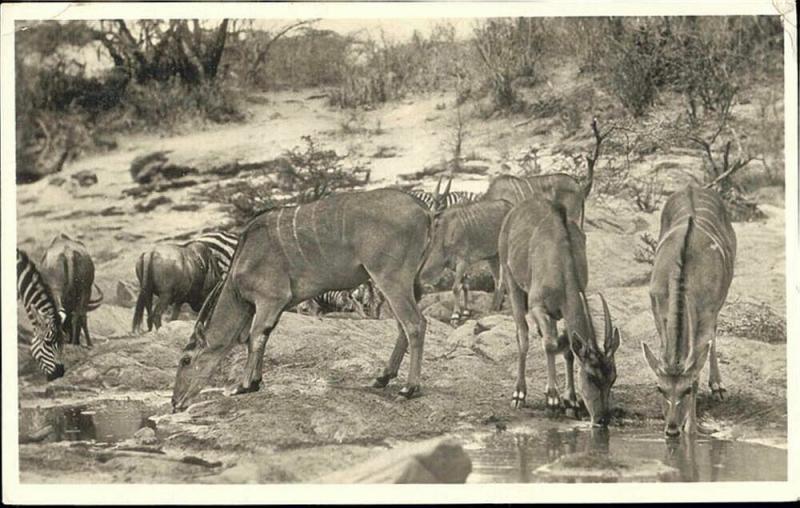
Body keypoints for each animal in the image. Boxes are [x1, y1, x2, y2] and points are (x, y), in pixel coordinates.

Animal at [169, 189, 432, 410]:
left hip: (390, 278)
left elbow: (255, 337)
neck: (243, 260)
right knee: (403, 325)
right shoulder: (276, 305)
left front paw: (243, 386)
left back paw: (409, 389)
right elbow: (263, 336)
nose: (175, 402)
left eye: (185, 360)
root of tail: (423, 210)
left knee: (415, 323)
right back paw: (382, 377)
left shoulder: (270, 298)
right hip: (405, 282)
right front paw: (255, 381)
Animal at [496, 198, 620, 424]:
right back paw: (519, 394)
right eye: (591, 376)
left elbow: (569, 348)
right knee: (523, 335)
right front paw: (553, 400)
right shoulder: (538, 306)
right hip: (511, 281)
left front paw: (571, 401)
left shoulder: (562, 310)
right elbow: (550, 344)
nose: (602, 419)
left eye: (613, 377)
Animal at [640, 187, 736, 436]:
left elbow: (696, 369)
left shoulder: (706, 314)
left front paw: (692, 429)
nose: (672, 429)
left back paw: (718, 386)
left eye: (686, 390)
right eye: (660, 389)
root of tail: (693, 187)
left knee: (714, 335)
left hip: (719, 301)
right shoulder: (658, 310)